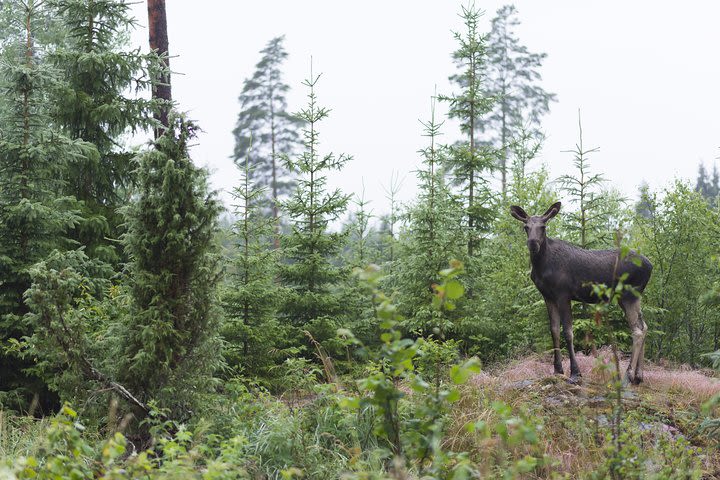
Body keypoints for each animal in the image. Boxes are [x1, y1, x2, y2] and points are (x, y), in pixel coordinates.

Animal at [510, 202, 656, 386]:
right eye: (526, 227)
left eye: (543, 226)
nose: (533, 243)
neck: (541, 267)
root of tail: (651, 265)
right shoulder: (548, 296)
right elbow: (554, 330)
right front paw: (557, 370)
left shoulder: (563, 294)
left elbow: (568, 332)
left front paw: (575, 373)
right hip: (630, 297)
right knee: (644, 326)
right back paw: (639, 376)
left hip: (628, 295)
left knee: (637, 330)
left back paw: (627, 376)